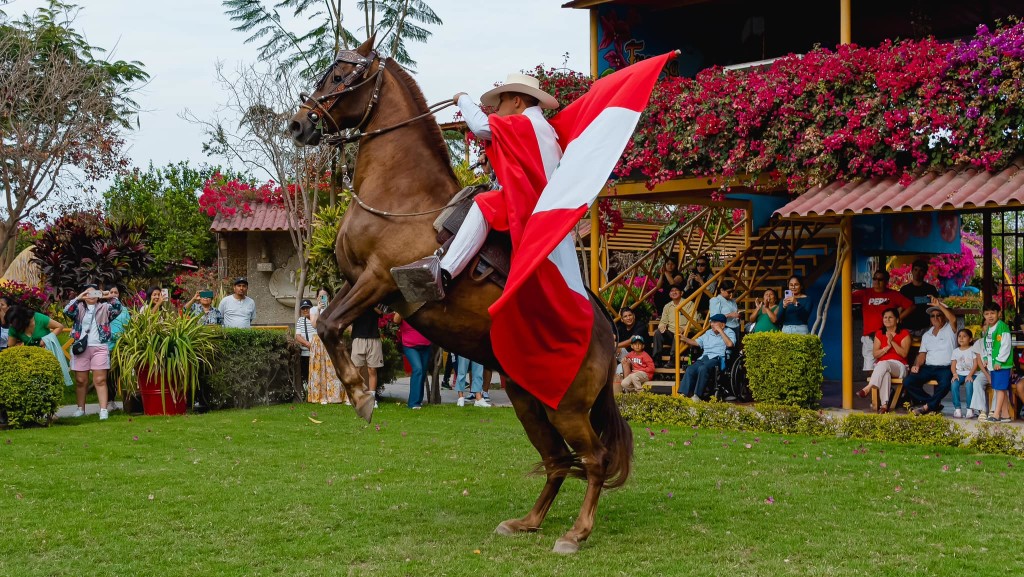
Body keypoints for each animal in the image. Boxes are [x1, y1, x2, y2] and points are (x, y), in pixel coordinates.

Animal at [284, 38, 626, 553]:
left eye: (343, 76)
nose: (299, 123)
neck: (401, 196)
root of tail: (606, 330)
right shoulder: (355, 281)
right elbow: (328, 322)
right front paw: (358, 392)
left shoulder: (379, 280)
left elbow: (326, 324)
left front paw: (361, 396)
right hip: (527, 400)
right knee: (558, 460)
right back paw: (527, 522)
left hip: (565, 407)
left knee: (595, 458)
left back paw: (576, 532)